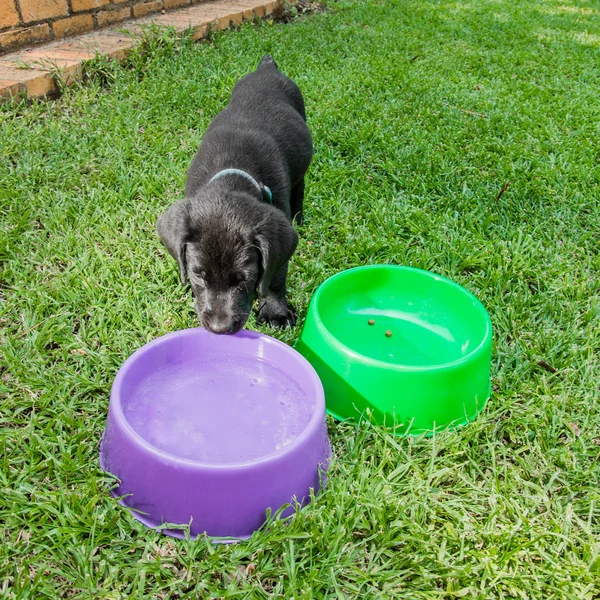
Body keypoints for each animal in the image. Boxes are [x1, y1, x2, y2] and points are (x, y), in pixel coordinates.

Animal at [157, 55, 312, 332]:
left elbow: (276, 276)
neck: (233, 172)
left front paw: (275, 312)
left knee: (300, 186)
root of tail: (266, 68)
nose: (220, 329)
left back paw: (299, 215)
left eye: (245, 278)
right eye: (198, 274)